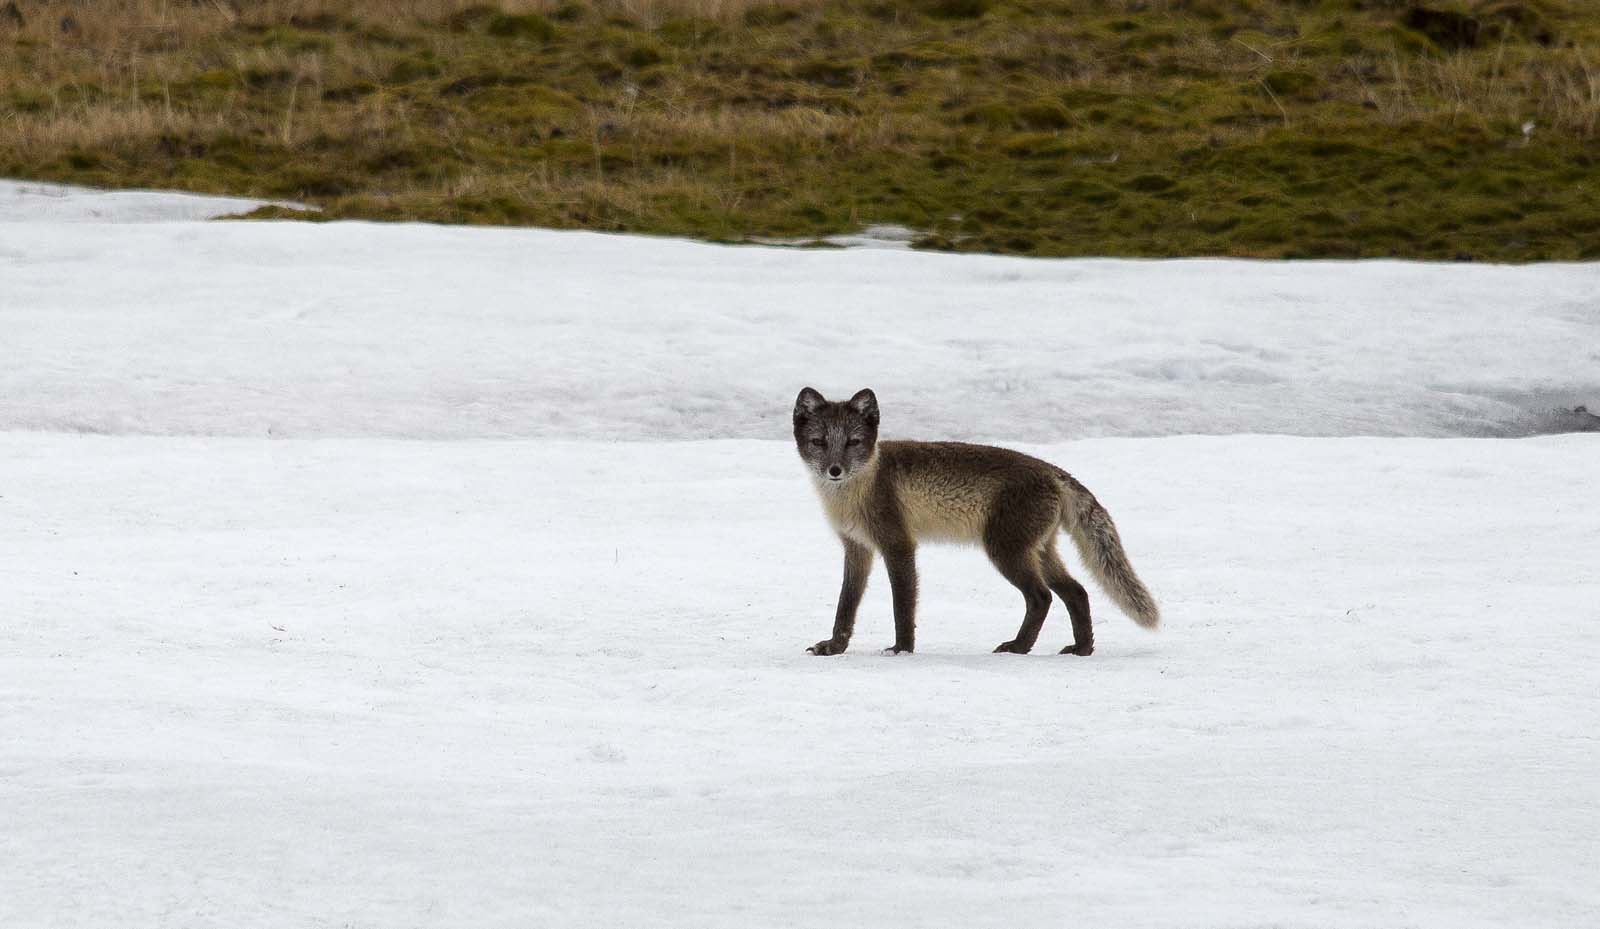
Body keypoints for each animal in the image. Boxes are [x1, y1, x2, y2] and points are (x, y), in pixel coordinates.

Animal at [793, 386, 1159, 656]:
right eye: (819, 443)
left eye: (853, 443)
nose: (835, 470)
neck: (858, 492)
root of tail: (1052, 472)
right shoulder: (857, 548)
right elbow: (846, 605)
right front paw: (835, 647)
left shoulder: (898, 545)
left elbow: (903, 605)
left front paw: (902, 649)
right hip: (1039, 551)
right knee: (1077, 593)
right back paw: (1081, 649)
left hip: (1005, 551)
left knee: (1042, 597)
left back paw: (1019, 647)